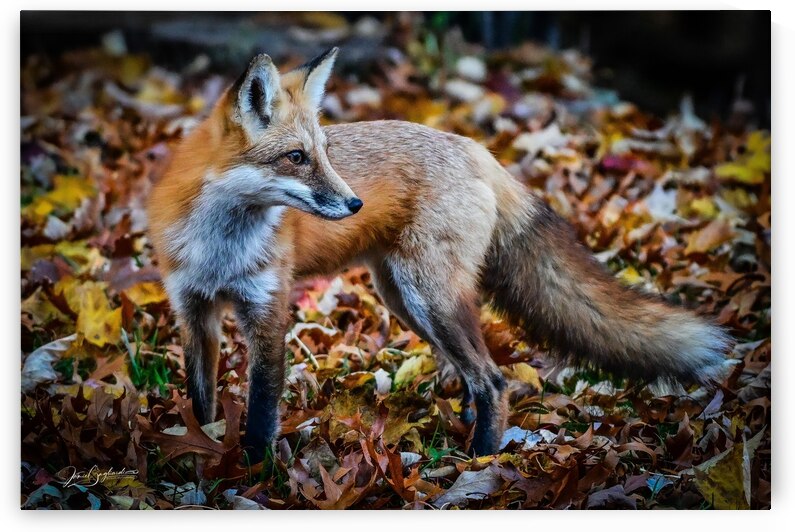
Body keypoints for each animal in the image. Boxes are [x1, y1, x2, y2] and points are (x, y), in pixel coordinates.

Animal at [147, 47, 733, 461]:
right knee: (474, 377)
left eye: (326, 154)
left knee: (494, 380)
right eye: (296, 157)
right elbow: (200, 402)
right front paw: (202, 454)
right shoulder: (194, 310)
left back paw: (479, 462)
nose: (354, 202)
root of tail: (475, 148)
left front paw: (253, 474)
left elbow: (263, 413)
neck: (220, 249)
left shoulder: (267, 311)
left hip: (429, 298)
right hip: (406, 300)